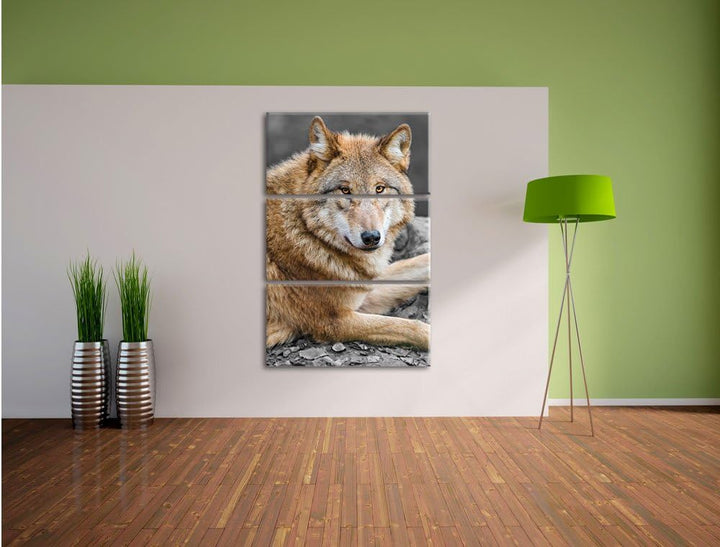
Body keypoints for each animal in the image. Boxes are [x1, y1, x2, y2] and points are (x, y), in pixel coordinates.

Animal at [266, 116, 430, 350]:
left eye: (379, 189)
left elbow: (418, 263)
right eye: (345, 190)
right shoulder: (335, 321)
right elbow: (411, 326)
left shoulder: (362, 290)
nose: (371, 237)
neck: (305, 232)